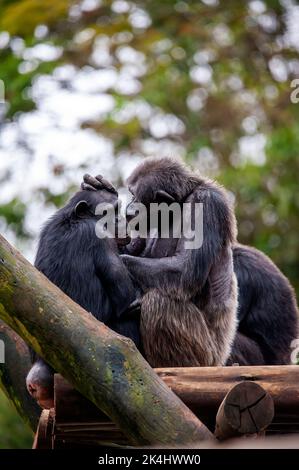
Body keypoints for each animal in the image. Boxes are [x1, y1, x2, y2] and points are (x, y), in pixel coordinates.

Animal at [25, 178, 139, 410]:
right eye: (110, 212)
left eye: (118, 209)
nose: (120, 221)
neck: (73, 219)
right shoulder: (99, 237)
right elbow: (126, 299)